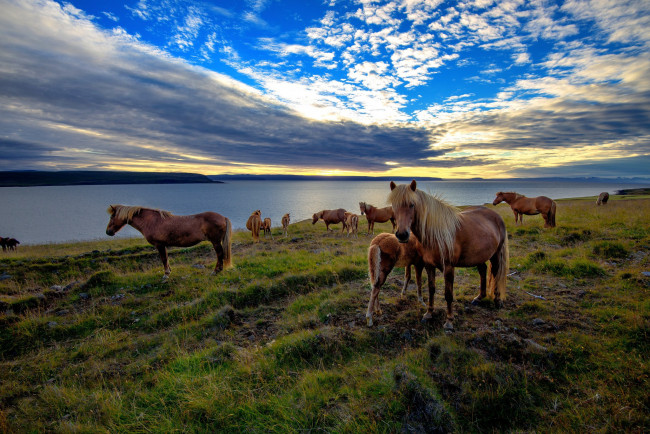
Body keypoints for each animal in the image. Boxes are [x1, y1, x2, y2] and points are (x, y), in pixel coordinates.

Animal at [388, 180, 508, 328]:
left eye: (412, 204)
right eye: (393, 205)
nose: (402, 235)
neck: (435, 235)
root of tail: (496, 216)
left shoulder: (449, 267)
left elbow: (448, 294)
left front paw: (449, 320)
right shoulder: (429, 265)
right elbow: (431, 289)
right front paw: (428, 314)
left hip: (496, 255)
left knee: (496, 274)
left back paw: (497, 301)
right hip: (478, 256)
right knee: (483, 271)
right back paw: (479, 297)